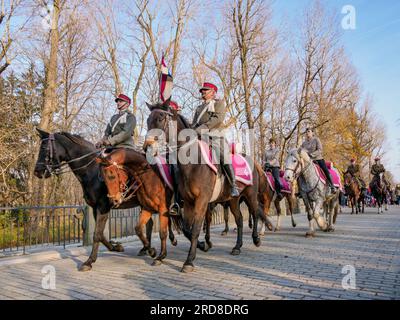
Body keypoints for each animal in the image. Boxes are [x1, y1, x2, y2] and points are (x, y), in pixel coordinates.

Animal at [31, 129, 175, 270]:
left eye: (44, 148)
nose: (37, 171)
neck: (91, 171)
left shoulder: (103, 206)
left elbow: (97, 234)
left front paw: (89, 261)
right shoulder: (95, 208)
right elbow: (100, 235)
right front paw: (115, 247)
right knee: (149, 224)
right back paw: (146, 248)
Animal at [143, 102, 262, 272]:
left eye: (160, 118)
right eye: (148, 120)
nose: (147, 147)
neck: (192, 162)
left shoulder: (202, 201)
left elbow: (195, 229)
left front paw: (189, 261)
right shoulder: (188, 202)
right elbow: (187, 228)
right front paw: (202, 245)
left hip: (250, 195)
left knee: (255, 213)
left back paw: (256, 239)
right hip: (233, 199)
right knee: (239, 219)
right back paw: (237, 247)